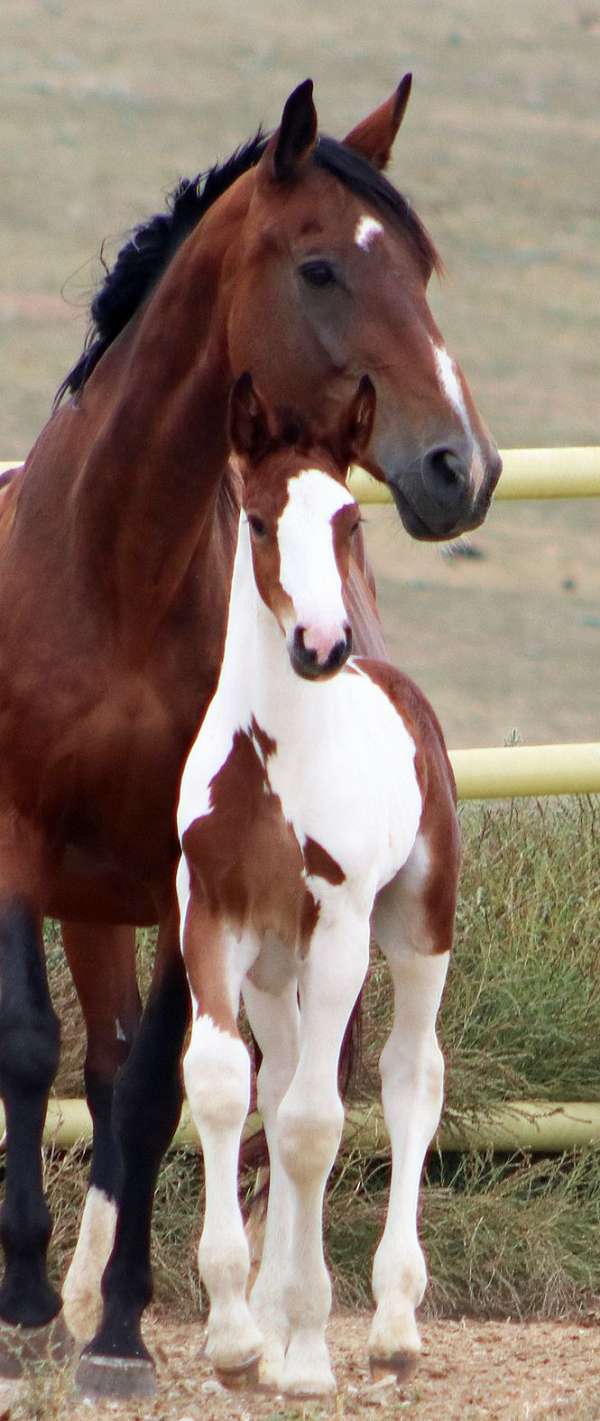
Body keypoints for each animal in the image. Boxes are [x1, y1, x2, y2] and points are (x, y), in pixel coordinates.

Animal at [177, 377, 460, 1398]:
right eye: (258, 520)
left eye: (347, 517)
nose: (320, 642)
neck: (272, 763)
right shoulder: (211, 915)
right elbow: (228, 1087)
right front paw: (235, 1332)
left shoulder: (338, 926)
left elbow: (313, 1124)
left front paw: (303, 1351)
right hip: (274, 967)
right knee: (287, 1072)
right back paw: (272, 1312)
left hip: (417, 928)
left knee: (410, 1077)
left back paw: (392, 1321)